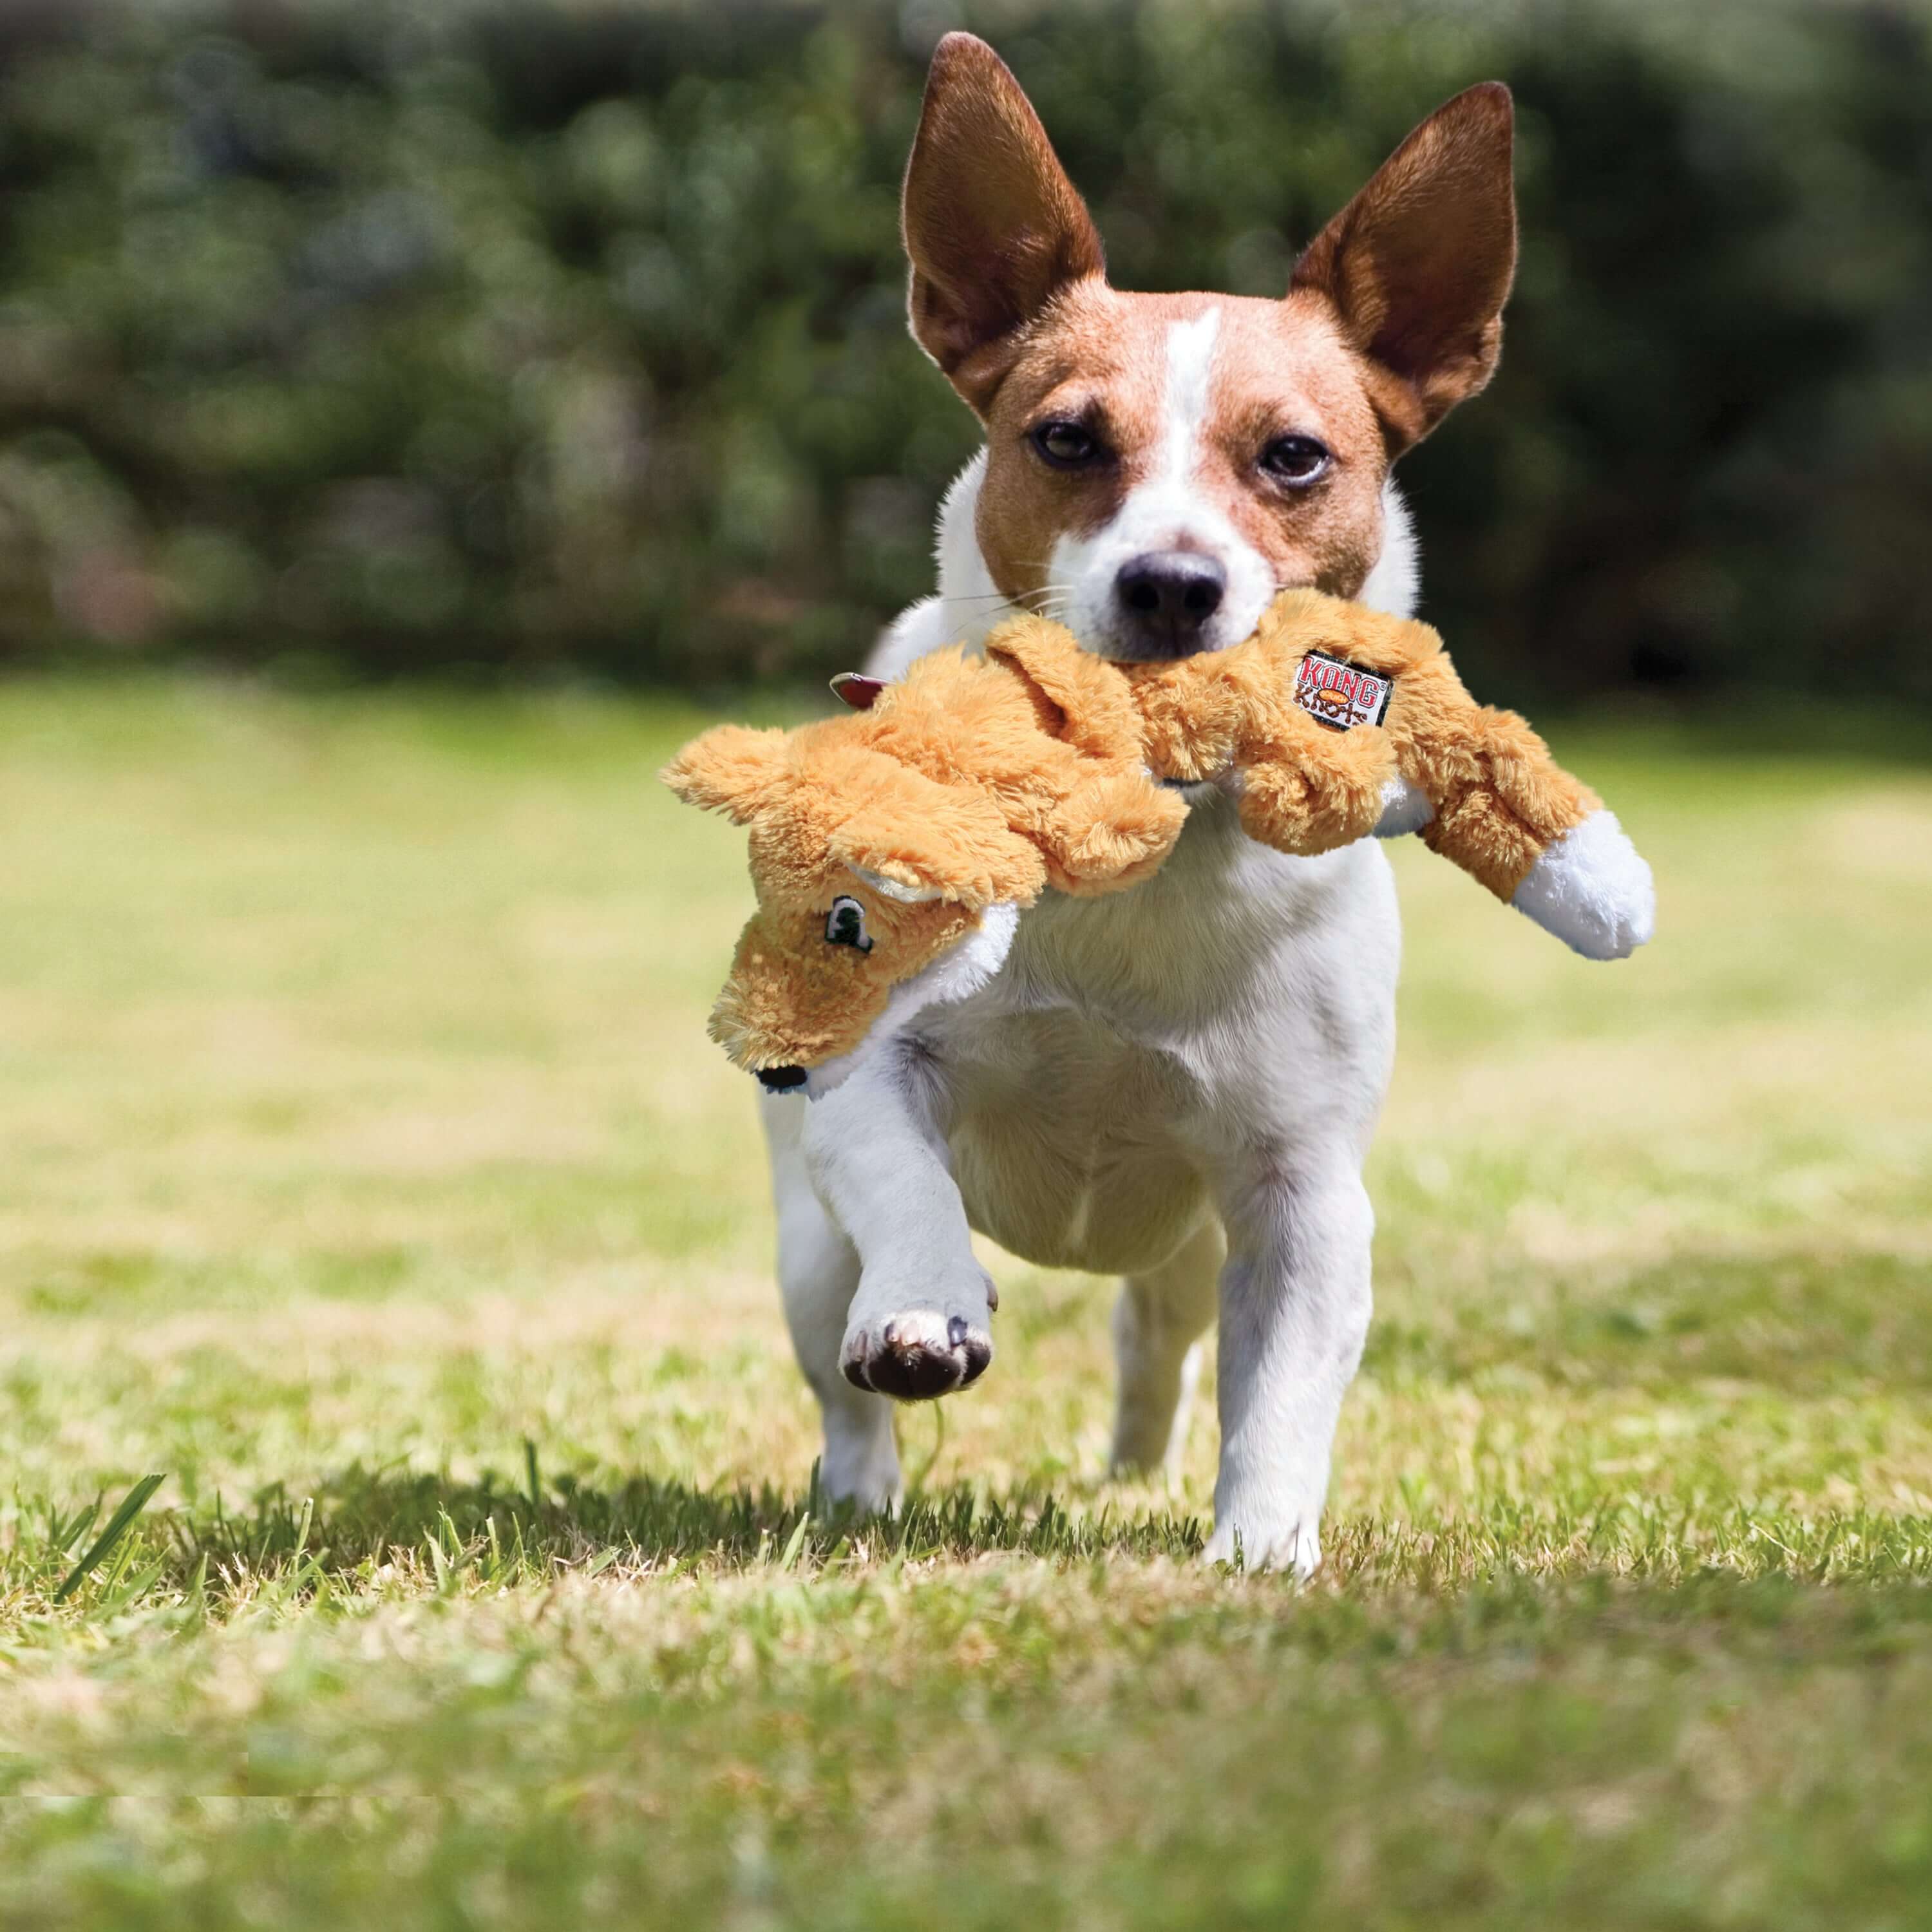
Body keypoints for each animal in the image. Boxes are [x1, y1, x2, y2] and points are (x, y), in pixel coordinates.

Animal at [761, 30, 1530, 1569]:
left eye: (1294, 456)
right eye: (1065, 440)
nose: (1171, 585)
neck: (1145, 832)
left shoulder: (1303, 1191)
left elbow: (1283, 1384)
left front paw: (1260, 1548)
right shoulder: (873, 1080)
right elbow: (903, 1177)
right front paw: (926, 1307)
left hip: (1188, 1250)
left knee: (1158, 1340)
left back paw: (1136, 1464)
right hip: (804, 1249)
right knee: (840, 1369)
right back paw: (862, 1482)